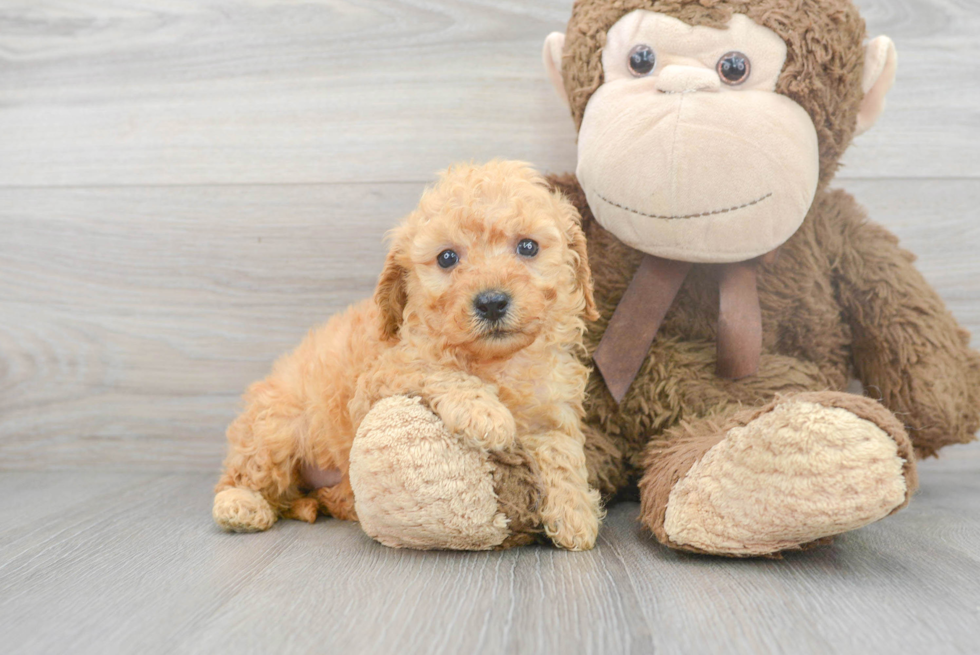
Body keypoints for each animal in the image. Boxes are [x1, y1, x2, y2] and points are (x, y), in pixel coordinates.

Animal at [212, 161, 604, 552]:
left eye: (528, 247)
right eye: (447, 257)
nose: (492, 302)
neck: (496, 360)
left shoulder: (554, 412)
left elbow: (563, 452)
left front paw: (575, 512)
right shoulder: (380, 377)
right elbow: (434, 369)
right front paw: (486, 413)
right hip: (276, 428)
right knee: (242, 474)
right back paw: (241, 505)